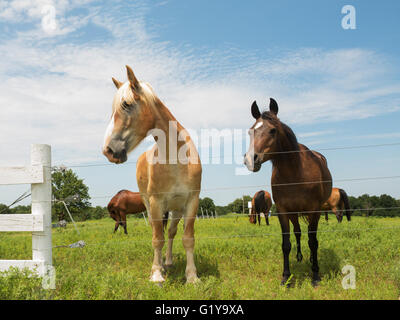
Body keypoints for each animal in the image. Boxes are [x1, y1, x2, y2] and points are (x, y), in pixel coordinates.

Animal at [103, 65, 203, 284]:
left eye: (126, 104)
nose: (108, 151)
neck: (176, 159)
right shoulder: (156, 203)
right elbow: (157, 238)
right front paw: (156, 274)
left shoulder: (191, 202)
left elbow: (187, 238)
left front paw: (192, 276)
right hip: (150, 205)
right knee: (157, 232)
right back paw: (161, 265)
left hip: (175, 209)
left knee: (171, 232)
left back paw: (169, 262)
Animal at [244, 99, 334, 286]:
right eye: (251, 131)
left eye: (273, 130)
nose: (250, 159)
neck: (295, 173)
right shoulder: (283, 211)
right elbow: (286, 244)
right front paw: (286, 277)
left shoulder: (315, 210)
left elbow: (313, 242)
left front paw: (315, 275)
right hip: (294, 213)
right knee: (298, 232)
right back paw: (299, 257)